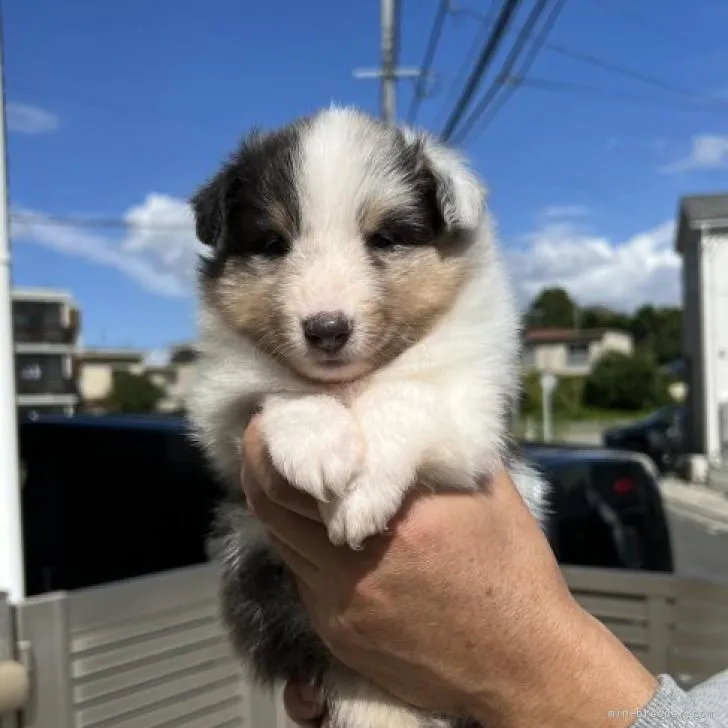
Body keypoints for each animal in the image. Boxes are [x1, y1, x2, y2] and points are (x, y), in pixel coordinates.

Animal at [185, 106, 548, 728]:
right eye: (274, 243)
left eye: (385, 238)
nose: (326, 328)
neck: (351, 383)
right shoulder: (220, 402)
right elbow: (278, 392)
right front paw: (317, 446)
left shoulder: (472, 404)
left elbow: (406, 395)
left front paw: (359, 496)